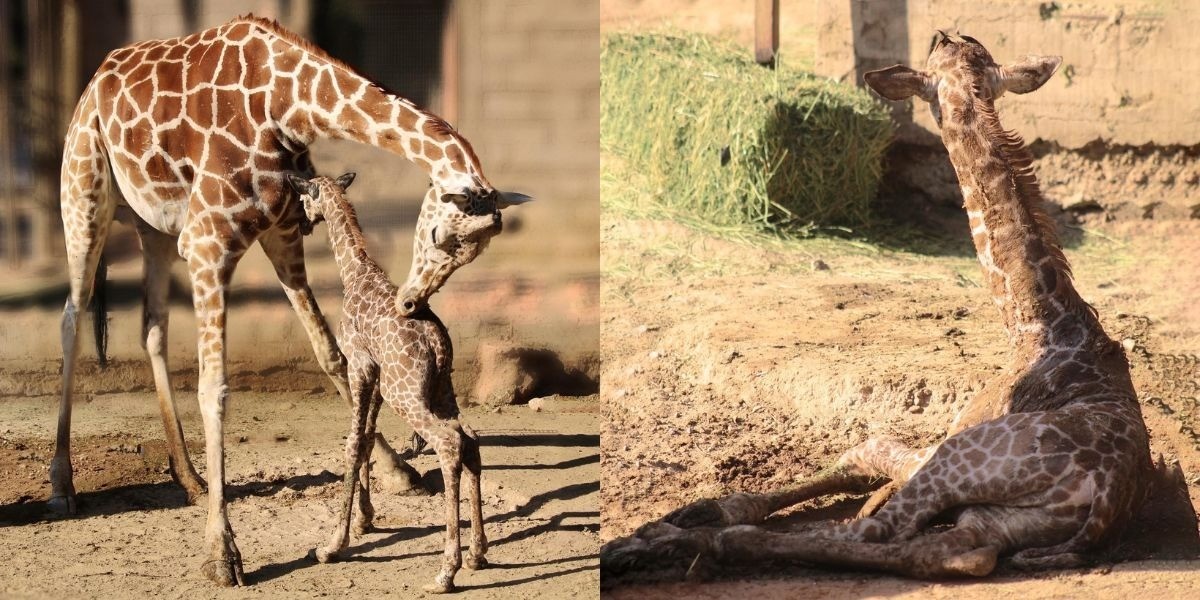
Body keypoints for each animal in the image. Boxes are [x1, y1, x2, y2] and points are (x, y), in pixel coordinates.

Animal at [286, 173, 489, 593]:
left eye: (304, 195)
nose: (301, 222)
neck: (354, 272)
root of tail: (435, 343)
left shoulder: (359, 365)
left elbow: (352, 443)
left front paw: (333, 545)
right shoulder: (378, 375)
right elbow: (365, 438)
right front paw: (364, 520)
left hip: (406, 393)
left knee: (449, 442)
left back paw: (445, 572)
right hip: (439, 388)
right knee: (471, 438)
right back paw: (478, 554)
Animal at [600, 32, 1154, 584]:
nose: (942, 33)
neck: (1036, 321)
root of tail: (1105, 493)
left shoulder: (953, 437)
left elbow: (868, 448)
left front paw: (690, 516)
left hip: (961, 462)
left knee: (871, 528)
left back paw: (661, 546)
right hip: (1003, 519)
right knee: (957, 552)